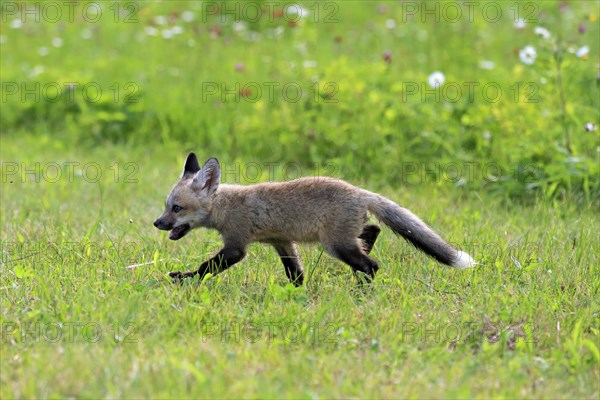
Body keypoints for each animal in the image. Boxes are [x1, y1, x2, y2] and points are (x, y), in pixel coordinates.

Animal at [155, 152, 478, 286]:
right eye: (166, 206)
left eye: (177, 209)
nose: (158, 223)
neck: (226, 206)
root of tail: (360, 191)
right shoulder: (282, 241)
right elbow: (295, 273)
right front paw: (296, 293)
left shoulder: (236, 245)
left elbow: (206, 267)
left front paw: (183, 279)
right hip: (344, 239)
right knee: (372, 231)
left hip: (335, 245)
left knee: (371, 265)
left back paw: (362, 290)